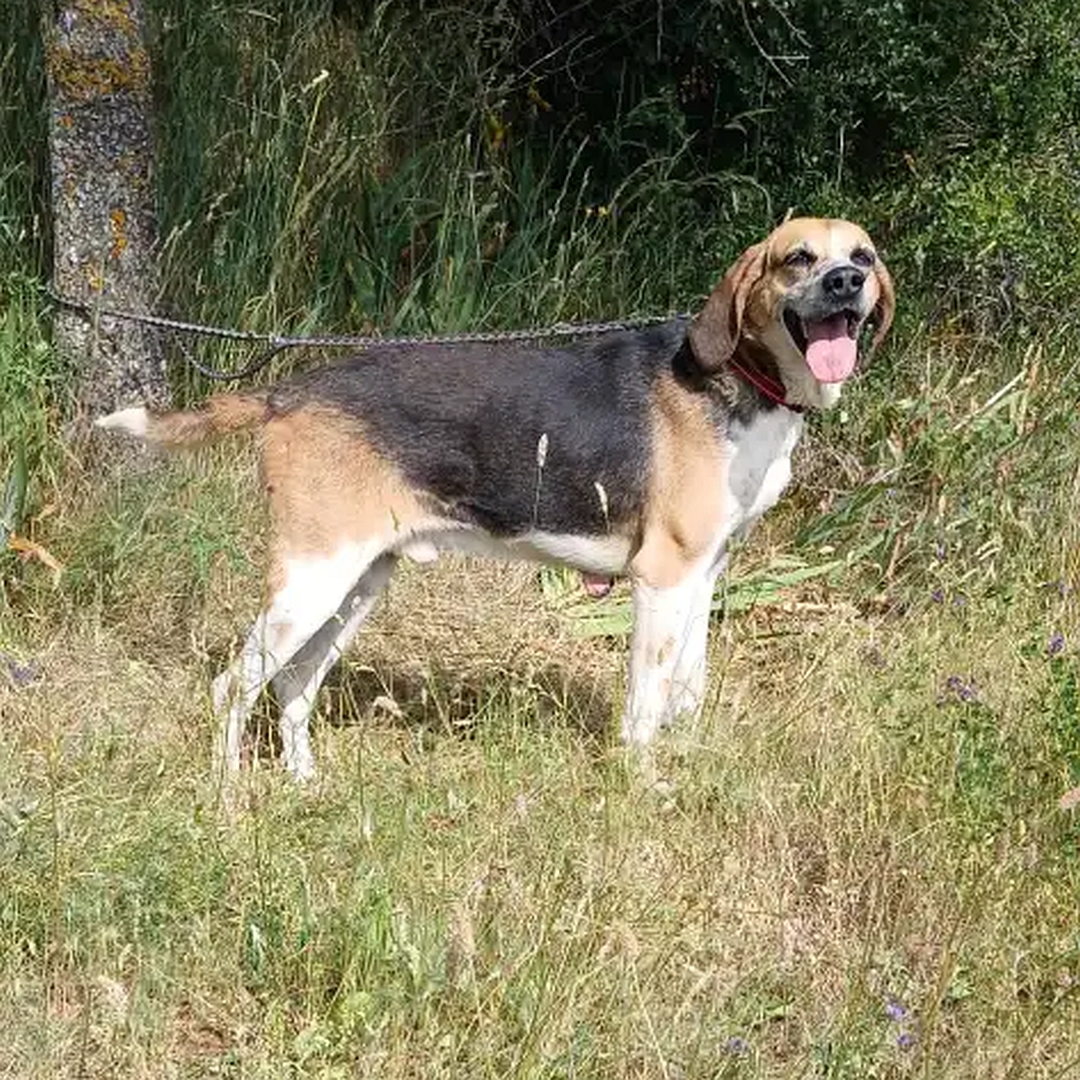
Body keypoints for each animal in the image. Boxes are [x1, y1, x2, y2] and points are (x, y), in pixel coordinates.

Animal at [99, 217, 894, 777]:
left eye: (863, 255)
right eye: (798, 258)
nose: (845, 283)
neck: (743, 384)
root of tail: (289, 391)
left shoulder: (704, 578)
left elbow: (687, 692)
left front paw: (690, 764)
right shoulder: (661, 578)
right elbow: (645, 705)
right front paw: (643, 787)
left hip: (355, 585)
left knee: (294, 688)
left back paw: (304, 784)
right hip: (312, 580)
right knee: (231, 689)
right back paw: (231, 800)